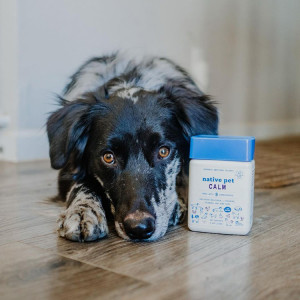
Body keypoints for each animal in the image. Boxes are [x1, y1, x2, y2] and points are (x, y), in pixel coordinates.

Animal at [47, 52, 218, 243]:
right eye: (108, 157)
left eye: (163, 151)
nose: (139, 227)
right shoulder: (68, 172)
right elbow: (82, 185)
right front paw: (82, 211)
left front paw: (177, 205)